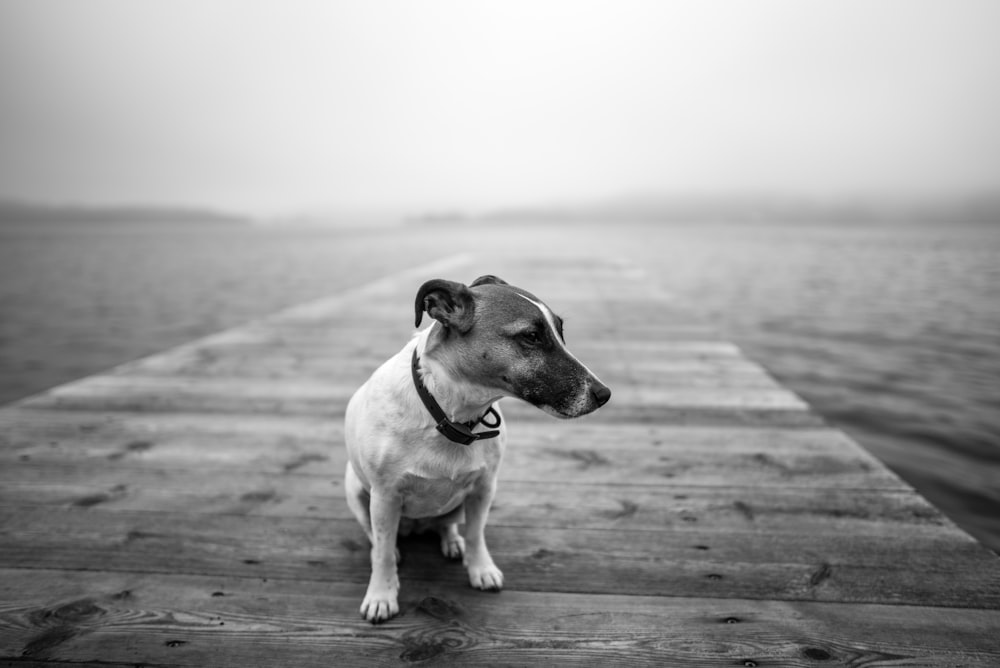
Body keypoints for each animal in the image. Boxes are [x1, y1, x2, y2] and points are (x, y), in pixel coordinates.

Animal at [344, 276, 608, 620]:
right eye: (532, 336)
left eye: (560, 331)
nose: (605, 394)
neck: (448, 413)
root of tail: (416, 526)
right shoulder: (385, 497)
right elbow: (384, 553)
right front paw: (381, 594)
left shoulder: (483, 488)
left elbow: (475, 534)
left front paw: (480, 568)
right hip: (356, 492)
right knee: (377, 538)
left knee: (447, 524)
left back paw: (451, 541)